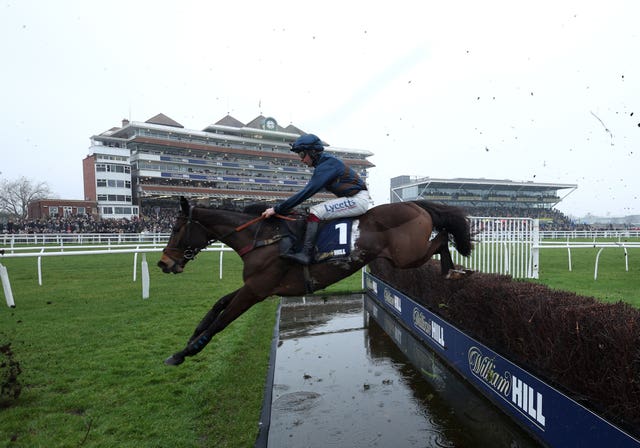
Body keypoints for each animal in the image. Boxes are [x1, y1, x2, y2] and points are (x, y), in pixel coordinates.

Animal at [158, 196, 472, 364]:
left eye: (175, 228)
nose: (164, 263)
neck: (263, 240)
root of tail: (415, 205)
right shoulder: (256, 287)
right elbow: (218, 305)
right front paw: (193, 337)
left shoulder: (256, 290)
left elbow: (222, 320)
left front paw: (186, 351)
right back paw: (454, 270)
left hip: (407, 256)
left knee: (443, 237)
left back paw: (452, 269)